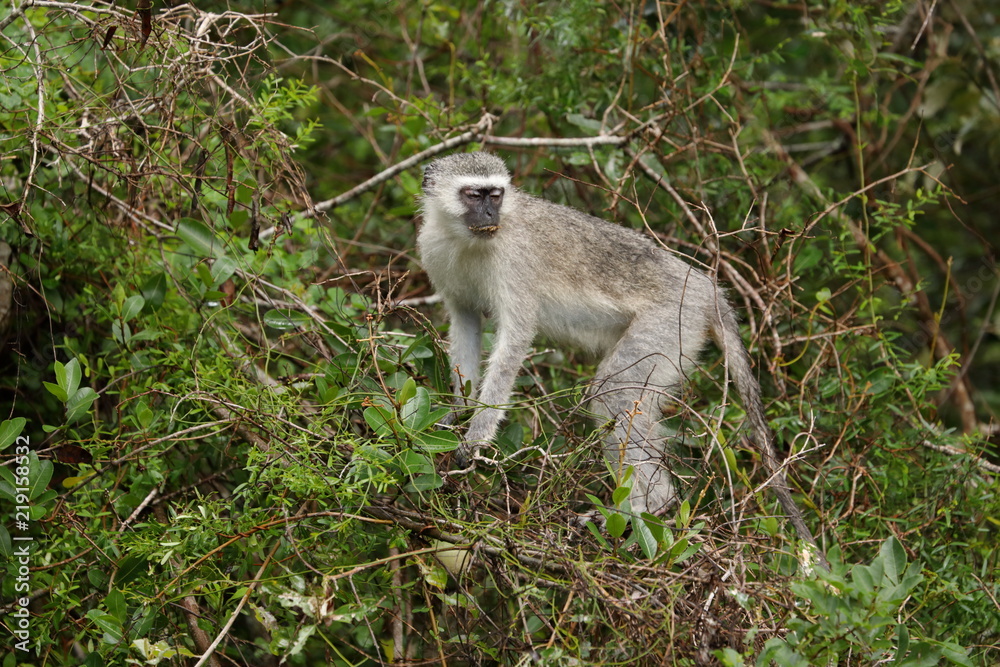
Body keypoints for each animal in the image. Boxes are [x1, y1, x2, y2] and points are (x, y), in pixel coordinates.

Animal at [417, 151, 820, 554]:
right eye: (474, 195)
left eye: (495, 195)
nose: (490, 215)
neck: (466, 241)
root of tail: (707, 288)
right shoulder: (434, 250)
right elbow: (466, 321)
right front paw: (455, 414)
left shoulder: (514, 262)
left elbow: (515, 339)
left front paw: (476, 438)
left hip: (672, 322)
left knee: (614, 392)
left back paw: (648, 512)